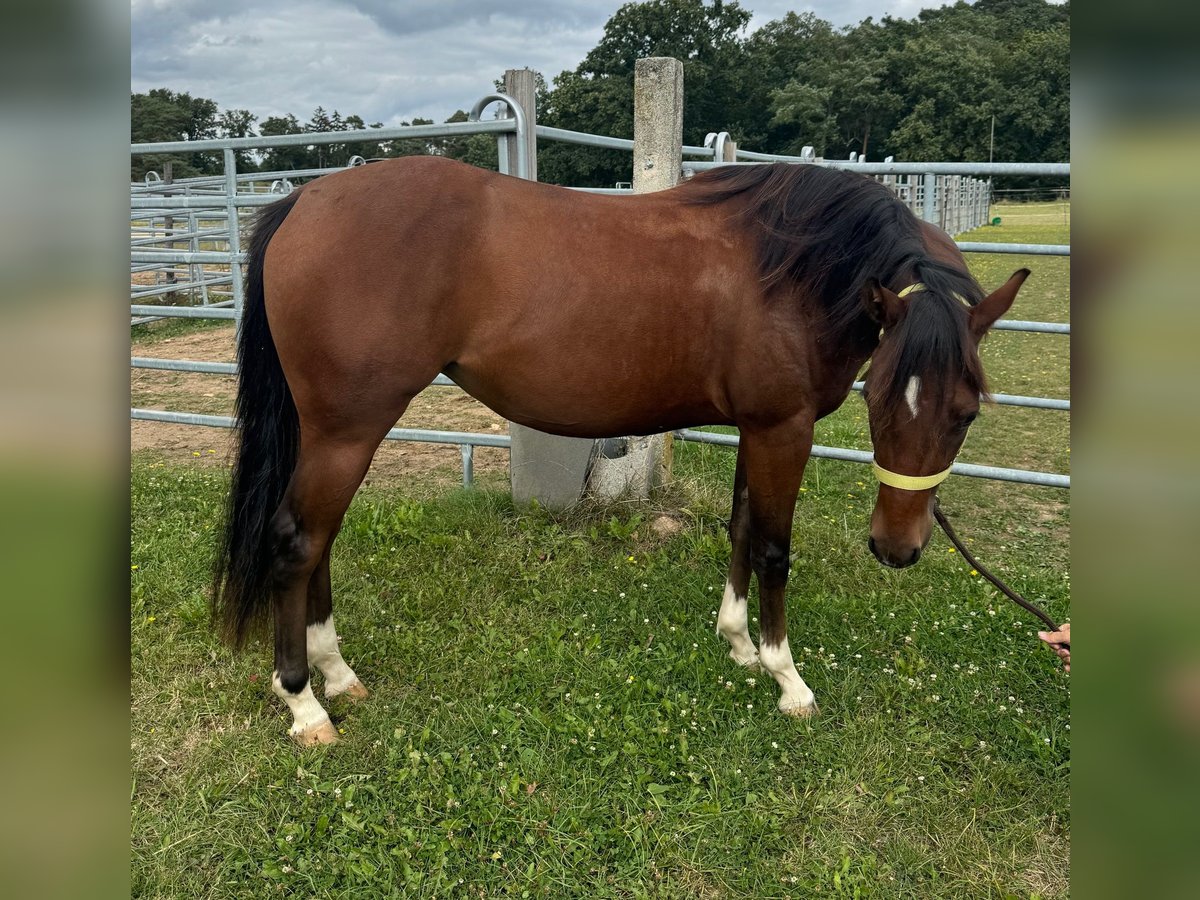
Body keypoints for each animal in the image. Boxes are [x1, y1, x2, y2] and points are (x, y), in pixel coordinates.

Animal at [211, 157, 1027, 748]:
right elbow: (772, 548)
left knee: (318, 543)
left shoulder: (754, 427)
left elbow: (739, 529)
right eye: (879, 399)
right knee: (297, 543)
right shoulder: (782, 428)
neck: (794, 267)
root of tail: (305, 203)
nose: (897, 548)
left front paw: (736, 643)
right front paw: (787, 678)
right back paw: (305, 705)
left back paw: (337, 674)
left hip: (335, 436)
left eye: (964, 414)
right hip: (348, 432)